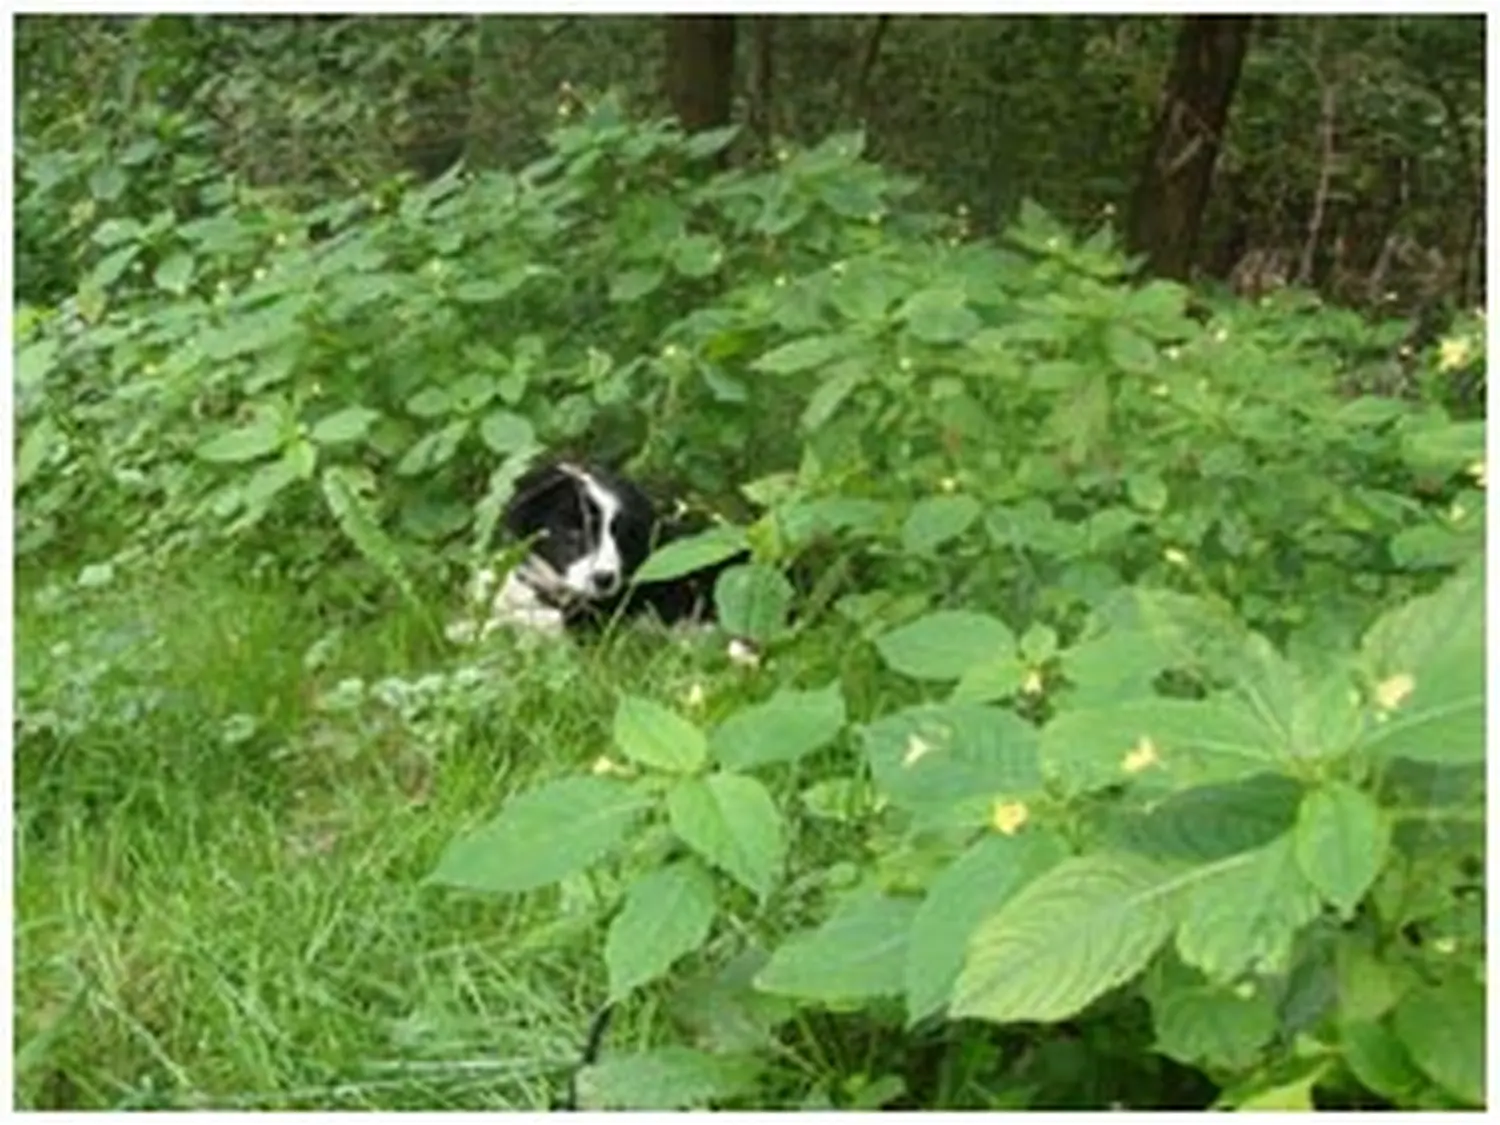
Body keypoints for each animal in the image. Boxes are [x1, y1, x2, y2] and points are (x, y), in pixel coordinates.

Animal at [444, 459, 738, 648]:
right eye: (575, 532)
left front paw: (467, 631)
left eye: (622, 536)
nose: (604, 579)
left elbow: (533, 622)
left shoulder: (595, 621)